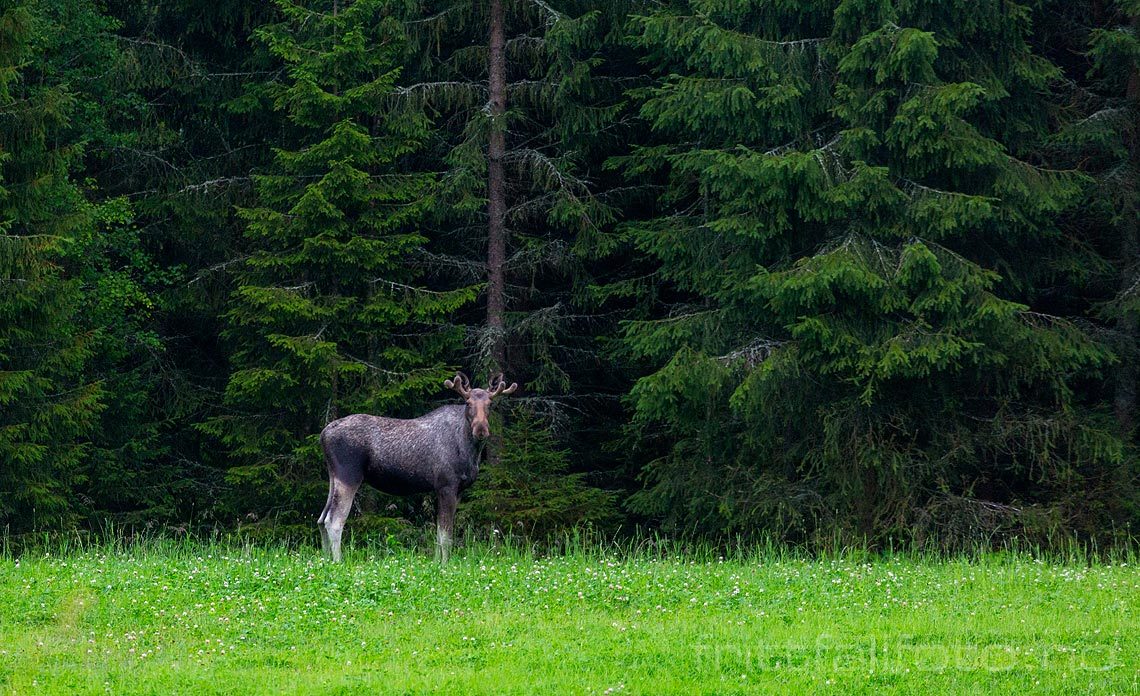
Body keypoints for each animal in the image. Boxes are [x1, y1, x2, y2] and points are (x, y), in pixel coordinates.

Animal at [319, 371, 519, 560]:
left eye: (490, 404)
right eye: (468, 403)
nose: (481, 429)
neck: (469, 450)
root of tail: (323, 434)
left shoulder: (457, 490)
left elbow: (438, 533)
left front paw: (437, 563)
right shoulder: (446, 485)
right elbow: (446, 536)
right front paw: (445, 564)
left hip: (333, 476)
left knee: (321, 519)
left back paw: (326, 560)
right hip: (349, 475)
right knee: (334, 520)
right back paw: (338, 561)